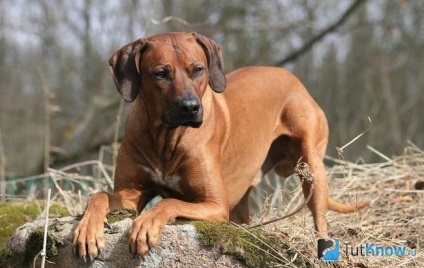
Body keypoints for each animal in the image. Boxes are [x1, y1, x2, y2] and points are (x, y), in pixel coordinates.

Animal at [73, 32, 368, 260]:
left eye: (197, 69)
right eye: (160, 74)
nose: (190, 107)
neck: (167, 139)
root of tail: (294, 79)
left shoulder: (215, 205)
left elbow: (169, 200)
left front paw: (146, 223)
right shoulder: (129, 194)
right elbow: (99, 195)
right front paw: (87, 230)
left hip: (312, 166)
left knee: (320, 217)